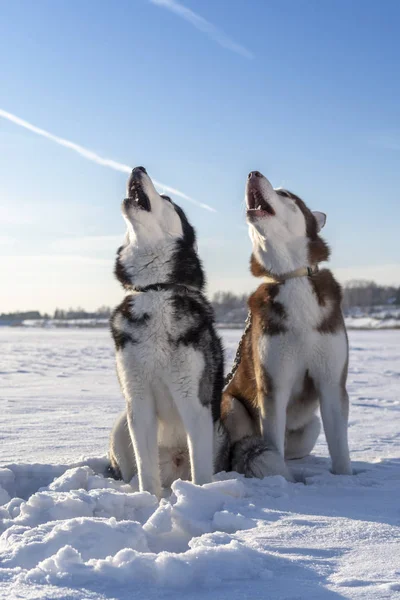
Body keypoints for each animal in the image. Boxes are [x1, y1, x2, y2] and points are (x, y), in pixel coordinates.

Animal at [109, 165, 227, 496]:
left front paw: (200, 498)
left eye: (168, 198)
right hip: (121, 424)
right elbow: (146, 471)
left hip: (219, 428)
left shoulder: (194, 400)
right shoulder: (138, 401)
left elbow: (201, 471)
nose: (139, 167)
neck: (156, 289)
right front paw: (148, 501)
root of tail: (174, 465)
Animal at [222, 171, 354, 480]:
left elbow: (340, 449)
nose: (253, 173)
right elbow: (272, 445)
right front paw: (280, 482)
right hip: (231, 405)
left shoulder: (331, 381)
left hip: (311, 428)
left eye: (286, 195)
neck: (291, 277)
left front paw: (345, 481)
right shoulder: (273, 384)